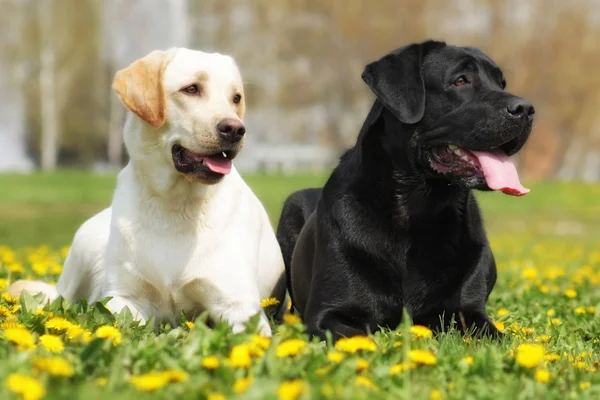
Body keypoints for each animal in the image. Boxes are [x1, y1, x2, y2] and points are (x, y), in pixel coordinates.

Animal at [9, 47, 286, 338]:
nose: (235, 129)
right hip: (83, 248)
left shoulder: (238, 304)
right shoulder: (124, 298)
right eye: (191, 89)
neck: (175, 205)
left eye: (236, 98)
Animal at [276, 40, 536, 340]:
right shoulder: (328, 314)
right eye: (460, 80)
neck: (417, 209)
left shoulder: (469, 312)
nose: (527, 109)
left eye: (501, 83)